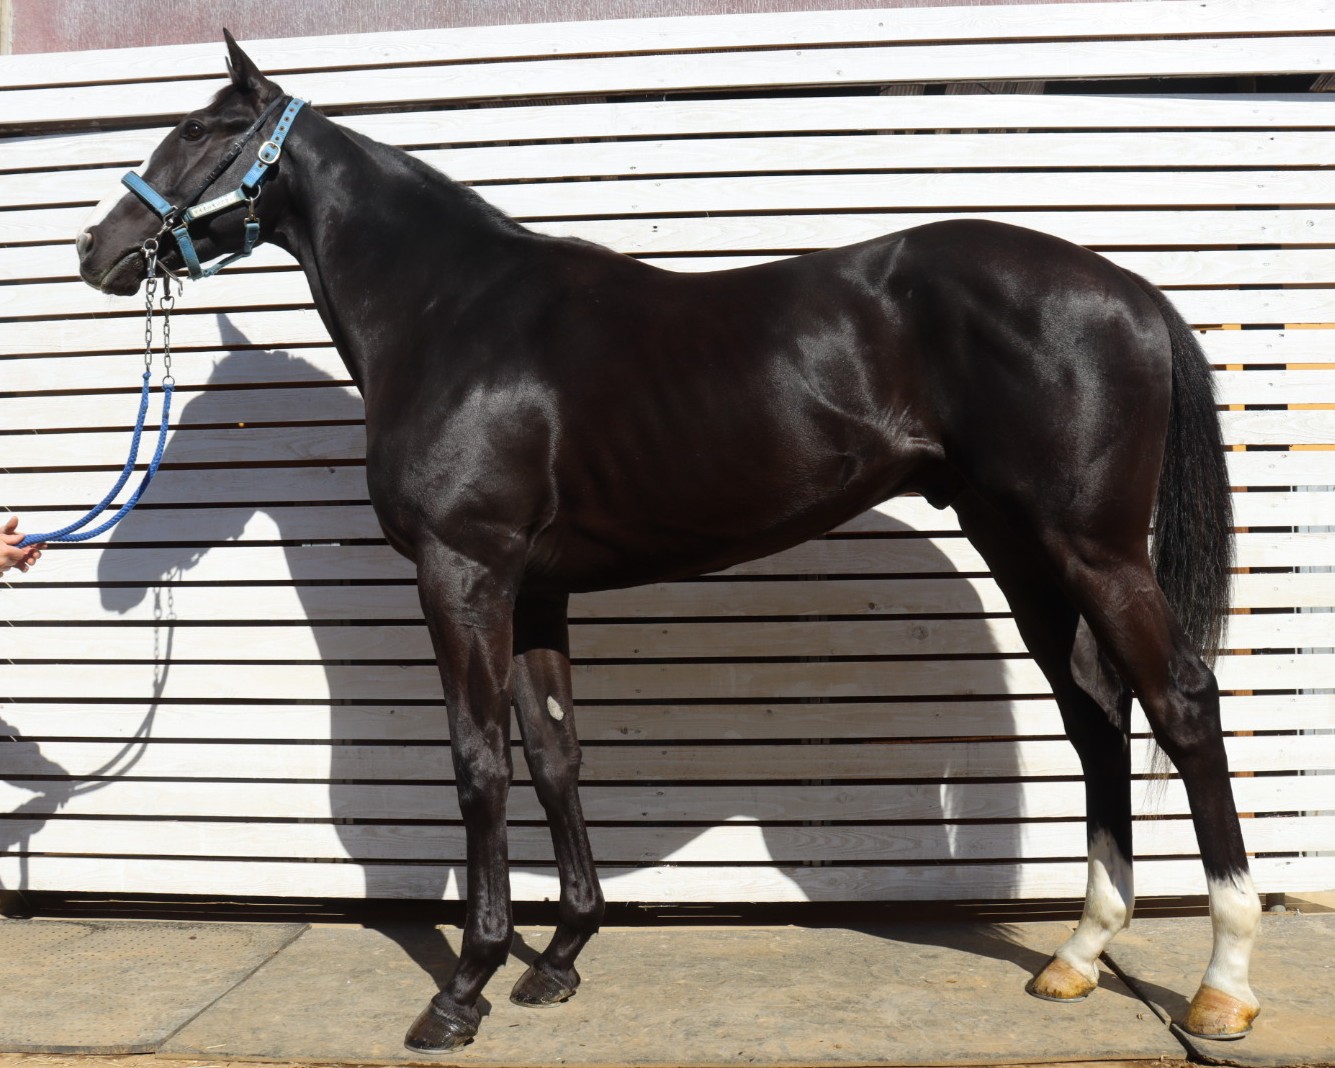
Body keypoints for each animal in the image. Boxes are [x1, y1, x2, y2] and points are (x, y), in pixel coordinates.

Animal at [75, 32, 1261, 1052]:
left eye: (199, 129)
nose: (97, 249)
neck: (456, 314)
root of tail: (1130, 290)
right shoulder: (534, 590)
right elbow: (553, 755)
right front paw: (559, 959)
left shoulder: (465, 574)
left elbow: (476, 762)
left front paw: (465, 989)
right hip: (1021, 547)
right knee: (1095, 718)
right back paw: (1078, 955)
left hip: (1094, 549)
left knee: (1180, 707)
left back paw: (1223, 985)